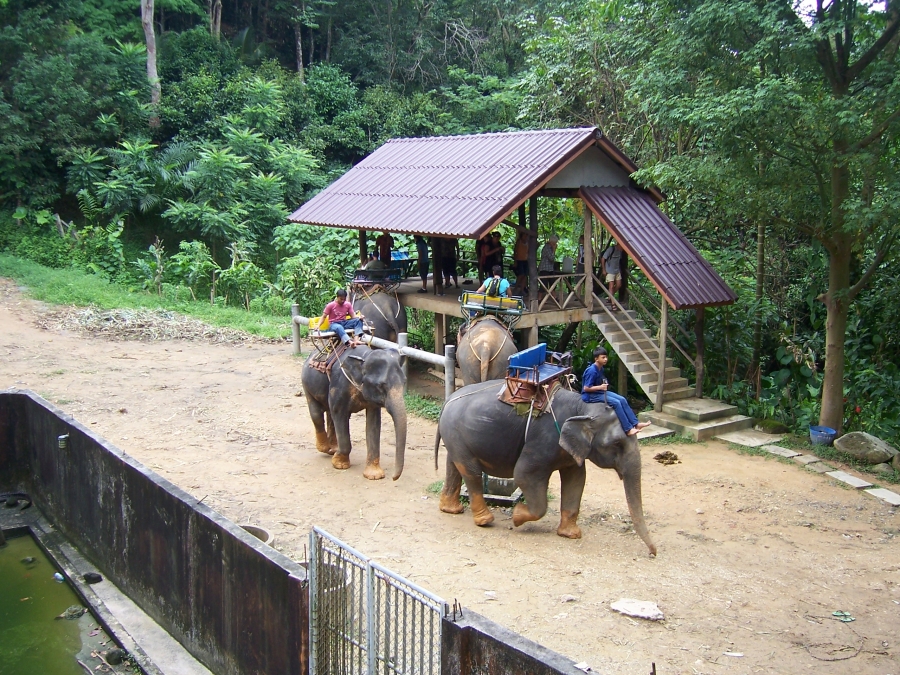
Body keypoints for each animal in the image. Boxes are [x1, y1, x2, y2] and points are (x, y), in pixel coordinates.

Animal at [301, 344, 407, 480]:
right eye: (380, 386)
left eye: (404, 382)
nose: (393, 478)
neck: (365, 356)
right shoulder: (339, 386)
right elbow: (339, 414)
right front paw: (339, 464)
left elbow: (373, 422)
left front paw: (374, 475)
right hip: (307, 384)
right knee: (317, 415)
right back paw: (324, 448)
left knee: (330, 415)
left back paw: (333, 449)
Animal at [433, 382, 656, 556]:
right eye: (617, 444)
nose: (653, 553)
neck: (580, 405)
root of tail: (448, 400)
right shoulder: (542, 440)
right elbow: (524, 474)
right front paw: (517, 517)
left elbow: (577, 478)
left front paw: (571, 534)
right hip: (457, 434)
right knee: (471, 472)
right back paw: (485, 520)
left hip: (454, 437)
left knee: (454, 466)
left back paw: (451, 509)